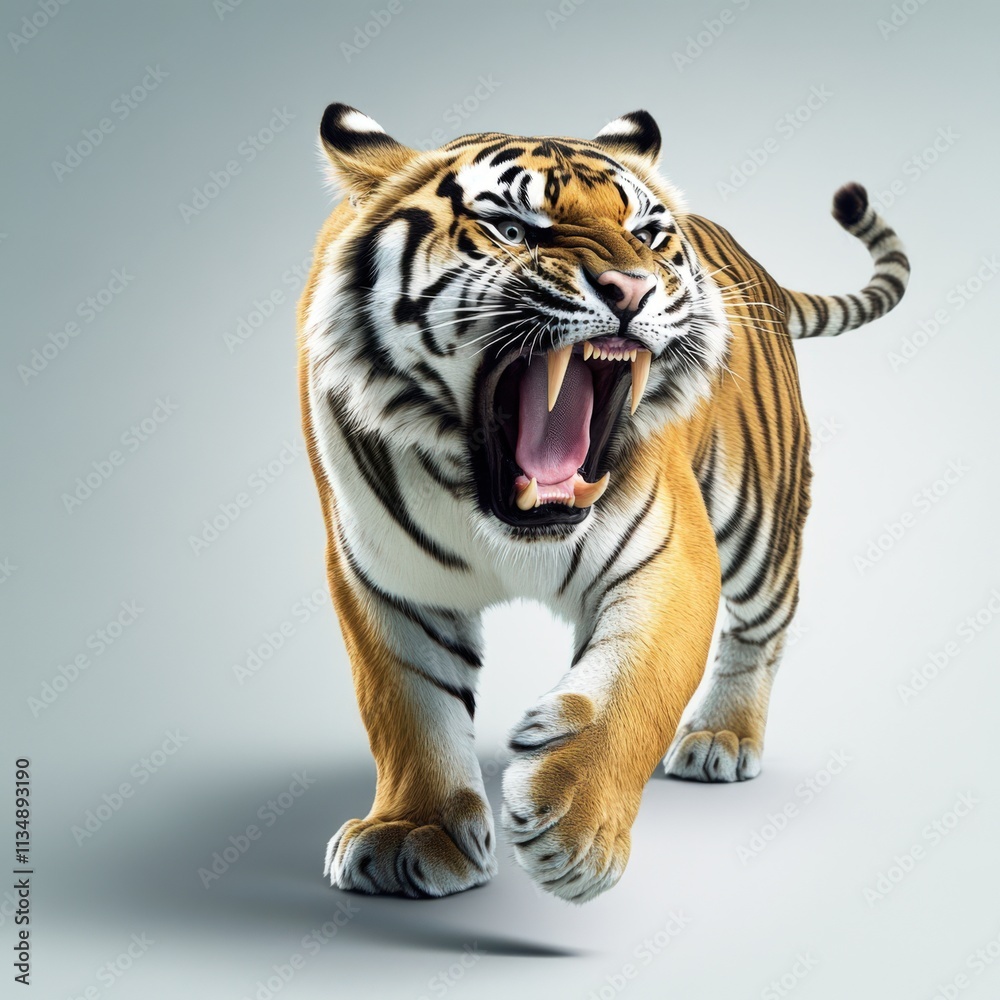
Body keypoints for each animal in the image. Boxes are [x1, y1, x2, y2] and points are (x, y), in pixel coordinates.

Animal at [297, 104, 909, 903]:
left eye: (646, 235)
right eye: (513, 227)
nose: (632, 289)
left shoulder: (671, 557)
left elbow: (635, 687)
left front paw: (573, 825)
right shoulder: (385, 579)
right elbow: (408, 706)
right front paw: (414, 833)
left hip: (760, 519)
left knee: (764, 626)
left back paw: (722, 738)